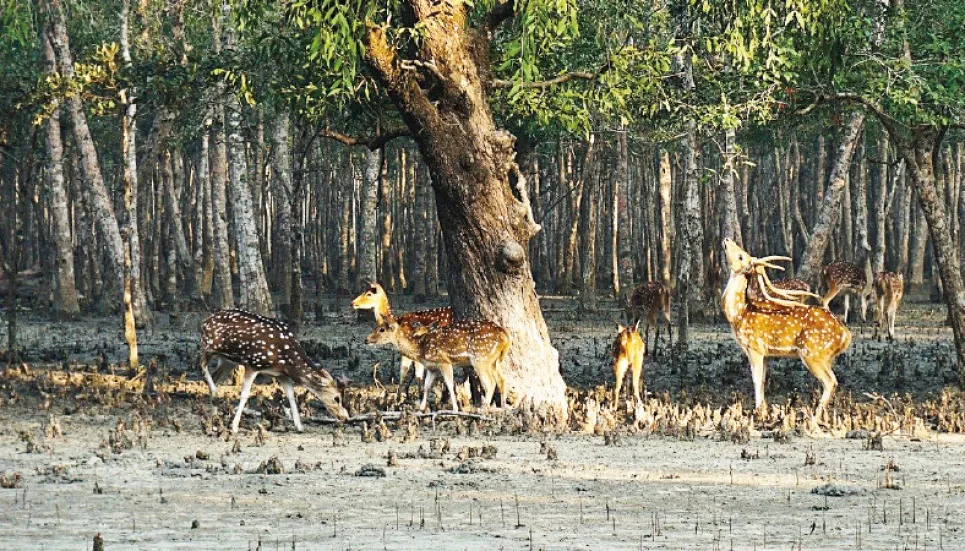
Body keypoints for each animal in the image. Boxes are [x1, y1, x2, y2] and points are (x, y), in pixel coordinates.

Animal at [198, 308, 348, 434]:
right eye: (336, 398)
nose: (345, 417)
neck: (286, 360)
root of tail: (205, 321)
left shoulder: (282, 374)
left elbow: (291, 395)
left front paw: (299, 426)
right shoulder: (253, 363)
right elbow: (245, 394)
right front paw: (234, 427)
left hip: (227, 360)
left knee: (215, 377)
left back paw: (214, 419)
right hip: (207, 346)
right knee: (202, 367)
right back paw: (216, 397)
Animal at [364, 316, 508, 412]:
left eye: (381, 329)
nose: (366, 339)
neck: (420, 349)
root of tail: (506, 337)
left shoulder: (444, 361)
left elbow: (449, 384)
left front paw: (455, 409)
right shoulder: (432, 367)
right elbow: (427, 386)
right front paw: (421, 408)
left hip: (480, 358)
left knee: (490, 382)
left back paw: (484, 408)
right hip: (494, 360)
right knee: (501, 380)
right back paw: (503, 407)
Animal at [724, 239, 852, 424]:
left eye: (741, 256)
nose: (727, 240)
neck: (739, 315)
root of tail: (846, 335)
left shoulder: (754, 347)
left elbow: (756, 380)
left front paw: (758, 413)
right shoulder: (766, 353)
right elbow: (763, 380)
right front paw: (764, 412)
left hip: (812, 352)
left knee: (830, 381)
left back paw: (813, 419)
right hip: (828, 356)